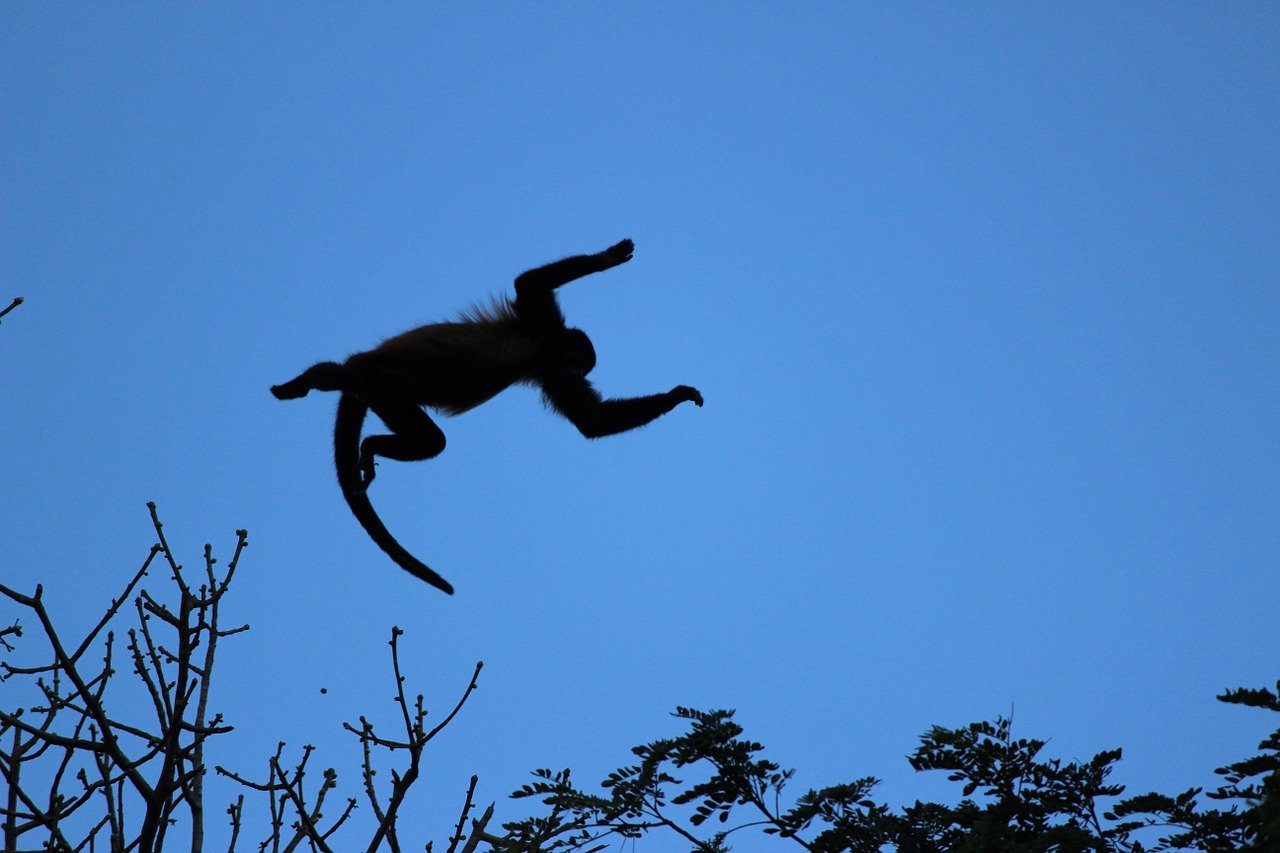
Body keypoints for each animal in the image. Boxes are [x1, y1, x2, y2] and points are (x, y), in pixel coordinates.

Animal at [270, 239, 706, 594]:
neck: (547, 348)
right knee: (345, 374)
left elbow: (591, 421)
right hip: (375, 374)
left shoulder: (553, 373)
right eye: (582, 362)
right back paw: (312, 379)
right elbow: (529, 283)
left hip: (387, 398)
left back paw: (370, 445)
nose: (582, 373)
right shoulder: (542, 322)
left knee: (431, 442)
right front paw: (609, 257)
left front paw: (676, 396)